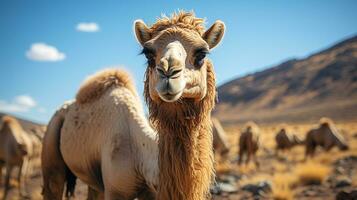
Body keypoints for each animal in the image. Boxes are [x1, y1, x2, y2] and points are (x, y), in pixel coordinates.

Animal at [41, 11, 224, 200]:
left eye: (202, 54)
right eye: (148, 54)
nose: (168, 71)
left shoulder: (148, 193)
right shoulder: (115, 190)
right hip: (51, 150)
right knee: (53, 182)